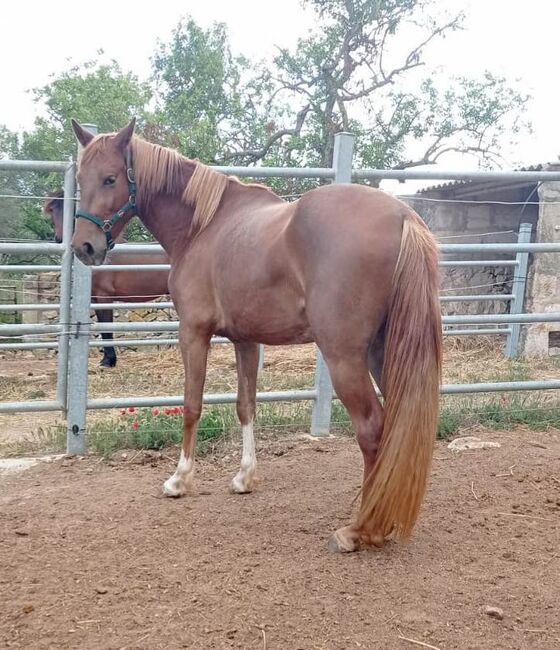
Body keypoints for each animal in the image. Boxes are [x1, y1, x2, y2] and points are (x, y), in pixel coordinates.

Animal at [43, 190, 168, 368]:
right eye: (52, 210)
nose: (59, 238)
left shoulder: (104, 296)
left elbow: (106, 326)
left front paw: (109, 360)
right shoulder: (95, 298)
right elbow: (103, 327)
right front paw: (106, 359)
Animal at [69, 117, 442, 552]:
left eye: (111, 178)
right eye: (81, 177)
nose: (84, 247)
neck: (203, 227)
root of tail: (403, 217)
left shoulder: (193, 332)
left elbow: (192, 404)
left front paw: (179, 480)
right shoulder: (245, 339)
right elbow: (246, 405)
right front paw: (245, 477)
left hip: (346, 357)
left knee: (372, 429)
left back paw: (361, 528)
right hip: (386, 352)